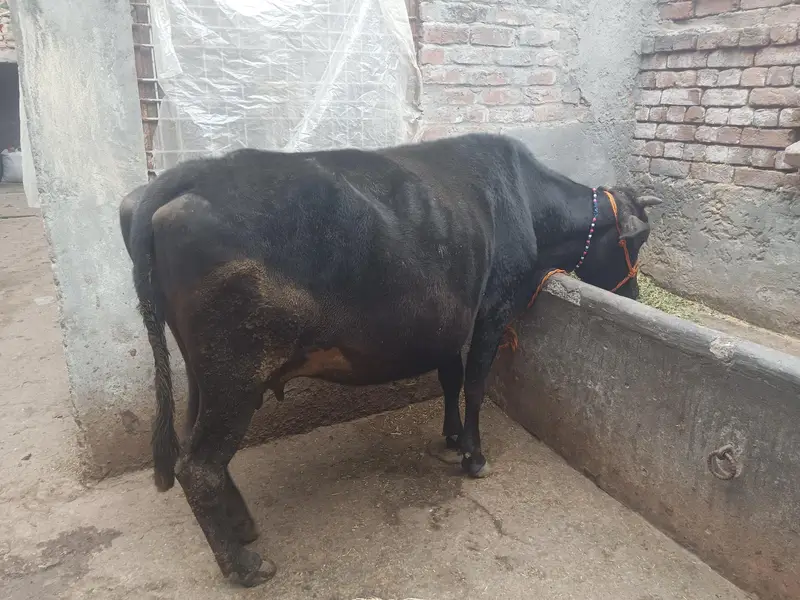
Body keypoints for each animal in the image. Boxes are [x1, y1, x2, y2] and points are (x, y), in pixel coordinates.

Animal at [119, 132, 661, 587]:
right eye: (636, 240)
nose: (634, 295)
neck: (528, 203)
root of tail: (182, 177)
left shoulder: (449, 322)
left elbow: (450, 378)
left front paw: (450, 437)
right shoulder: (492, 309)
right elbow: (476, 386)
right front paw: (474, 455)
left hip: (204, 372)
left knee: (195, 446)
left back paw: (245, 527)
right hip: (235, 371)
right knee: (199, 466)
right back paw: (246, 566)